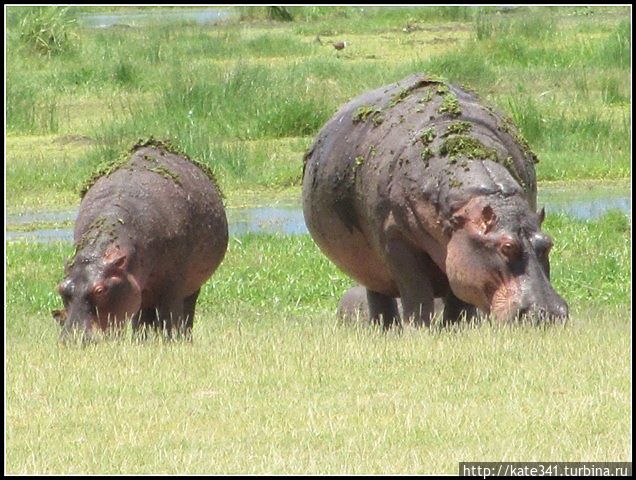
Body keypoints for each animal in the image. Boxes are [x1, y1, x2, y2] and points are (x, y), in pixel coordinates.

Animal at [54, 140, 229, 344]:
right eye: (61, 288)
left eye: (100, 290)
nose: (72, 340)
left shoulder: (173, 287)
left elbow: (170, 317)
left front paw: (171, 342)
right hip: (142, 290)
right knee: (143, 317)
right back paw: (143, 340)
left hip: (190, 286)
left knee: (184, 313)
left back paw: (183, 338)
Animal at [306, 74, 568, 330]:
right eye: (507, 247)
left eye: (548, 243)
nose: (549, 314)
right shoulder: (396, 239)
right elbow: (416, 290)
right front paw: (418, 329)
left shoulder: (459, 249)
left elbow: (459, 294)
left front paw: (456, 327)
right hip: (370, 265)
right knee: (380, 295)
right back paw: (388, 328)